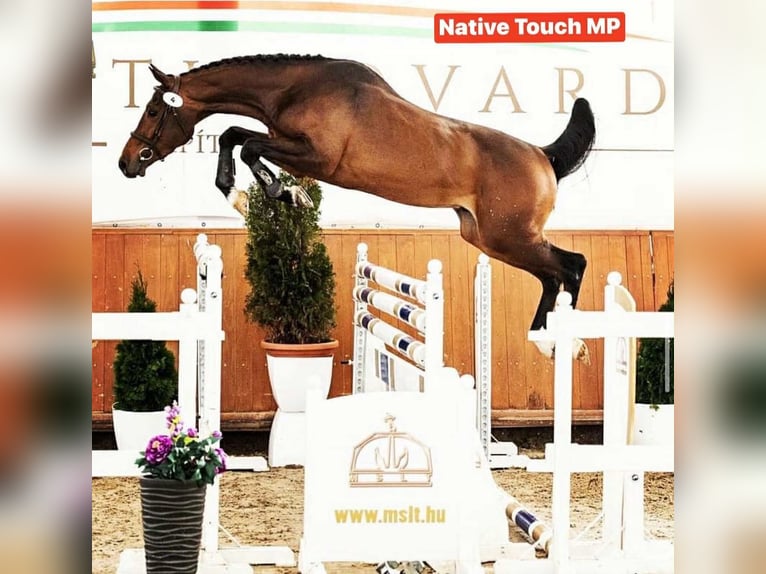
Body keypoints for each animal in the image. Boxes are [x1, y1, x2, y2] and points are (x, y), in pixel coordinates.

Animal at [119, 54, 595, 360]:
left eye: (154, 110)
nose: (127, 163)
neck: (293, 88)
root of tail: (542, 156)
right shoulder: (289, 146)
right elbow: (235, 135)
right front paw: (244, 193)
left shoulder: (316, 157)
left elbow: (247, 143)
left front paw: (283, 194)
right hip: (486, 236)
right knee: (554, 273)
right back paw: (550, 340)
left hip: (509, 236)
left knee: (571, 265)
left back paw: (562, 343)